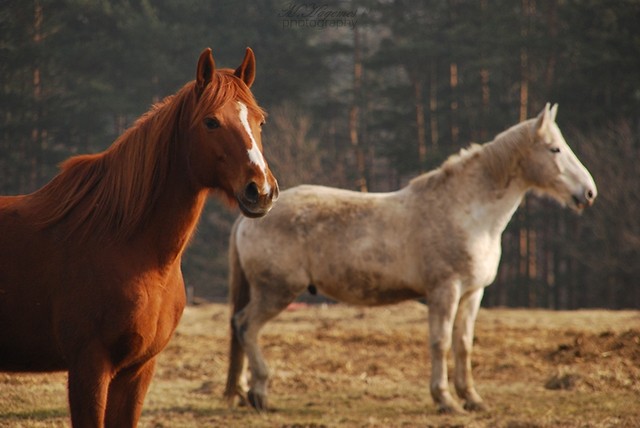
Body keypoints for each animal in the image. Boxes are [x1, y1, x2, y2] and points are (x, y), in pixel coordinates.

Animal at [222, 102, 596, 412]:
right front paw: (445, 400)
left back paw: (244, 391)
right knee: (246, 326)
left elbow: (463, 345)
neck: (466, 212)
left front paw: (472, 399)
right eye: (555, 149)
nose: (588, 193)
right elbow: (440, 343)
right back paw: (260, 394)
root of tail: (251, 215)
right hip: (276, 291)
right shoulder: (445, 291)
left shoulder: (473, 293)